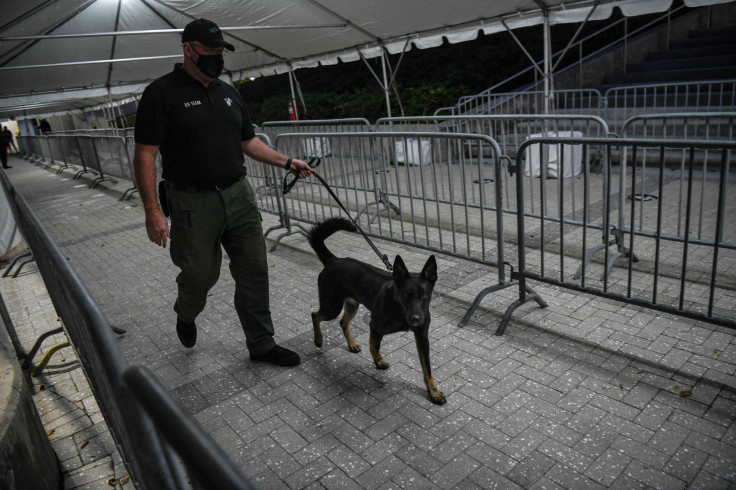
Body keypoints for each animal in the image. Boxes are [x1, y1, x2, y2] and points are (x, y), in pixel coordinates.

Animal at [308, 218, 446, 406]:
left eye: (424, 295)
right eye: (406, 295)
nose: (416, 319)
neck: (399, 309)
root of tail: (334, 260)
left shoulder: (422, 336)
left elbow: (427, 368)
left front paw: (433, 391)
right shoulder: (375, 325)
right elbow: (374, 345)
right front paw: (378, 360)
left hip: (352, 305)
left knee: (343, 322)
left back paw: (351, 343)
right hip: (332, 307)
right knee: (315, 315)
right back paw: (318, 339)